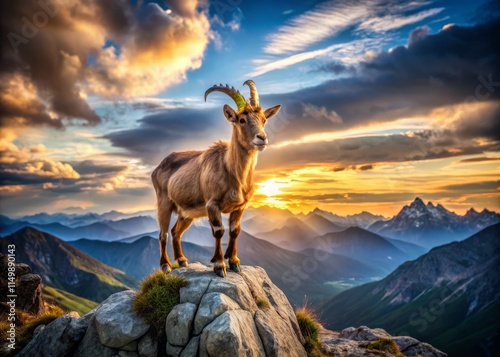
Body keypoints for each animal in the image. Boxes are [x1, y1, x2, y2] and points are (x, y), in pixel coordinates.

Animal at [151, 79, 282, 276]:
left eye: (264, 120)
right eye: (242, 120)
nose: (262, 138)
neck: (232, 172)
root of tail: (157, 168)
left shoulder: (240, 207)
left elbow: (235, 230)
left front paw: (234, 262)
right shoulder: (212, 205)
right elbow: (219, 231)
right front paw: (220, 264)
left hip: (186, 212)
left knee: (176, 232)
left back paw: (181, 260)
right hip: (164, 202)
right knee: (163, 233)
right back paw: (165, 265)